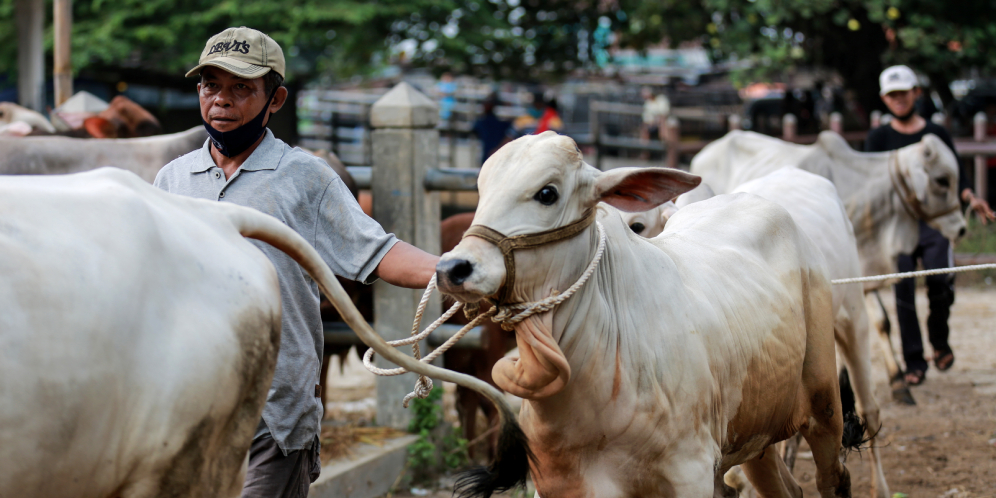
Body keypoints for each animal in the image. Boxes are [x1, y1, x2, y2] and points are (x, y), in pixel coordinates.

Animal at [440, 132, 860, 498]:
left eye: (547, 193)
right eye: (482, 190)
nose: (452, 267)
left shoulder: (689, 473)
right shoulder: (557, 484)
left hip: (824, 404)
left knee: (833, 478)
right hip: (755, 431)